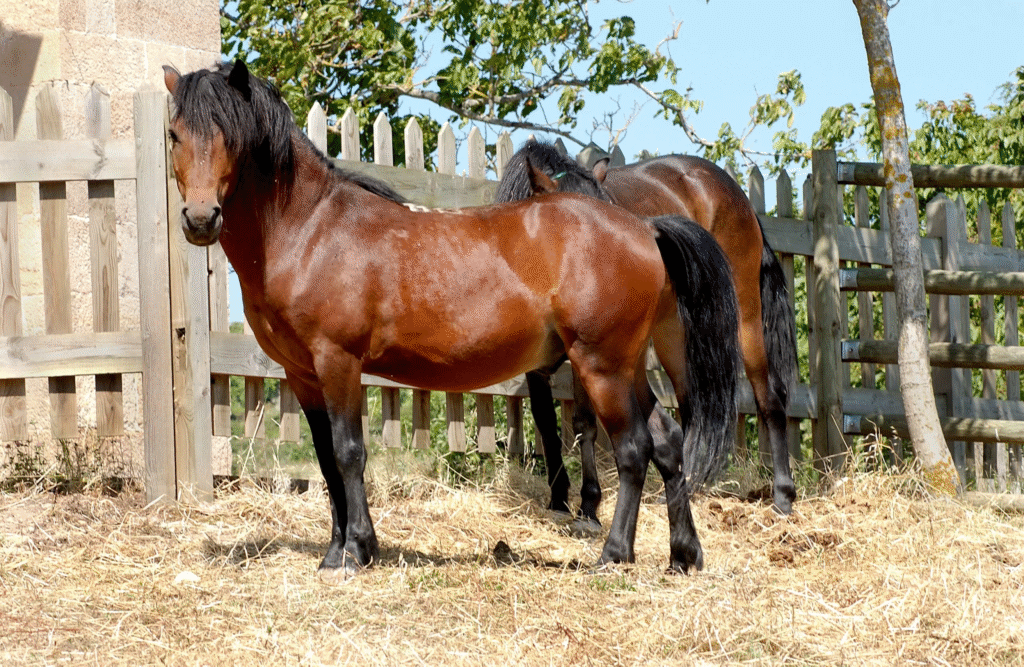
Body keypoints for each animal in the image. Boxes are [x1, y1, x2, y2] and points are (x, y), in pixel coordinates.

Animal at [163, 60, 741, 578]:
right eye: (174, 135)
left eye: (230, 136)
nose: (200, 219)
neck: (312, 229)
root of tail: (645, 228)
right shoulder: (302, 374)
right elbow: (326, 460)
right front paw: (337, 551)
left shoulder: (338, 362)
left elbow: (349, 454)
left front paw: (354, 553)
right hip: (627, 367)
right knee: (667, 441)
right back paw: (683, 555)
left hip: (602, 367)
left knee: (634, 449)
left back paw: (614, 555)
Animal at [495, 140, 798, 518]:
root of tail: (736, 193)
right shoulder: (538, 365)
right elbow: (546, 424)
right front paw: (559, 499)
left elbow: (584, 424)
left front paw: (589, 504)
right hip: (675, 335)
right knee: (692, 405)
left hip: (744, 315)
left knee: (768, 395)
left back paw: (782, 494)